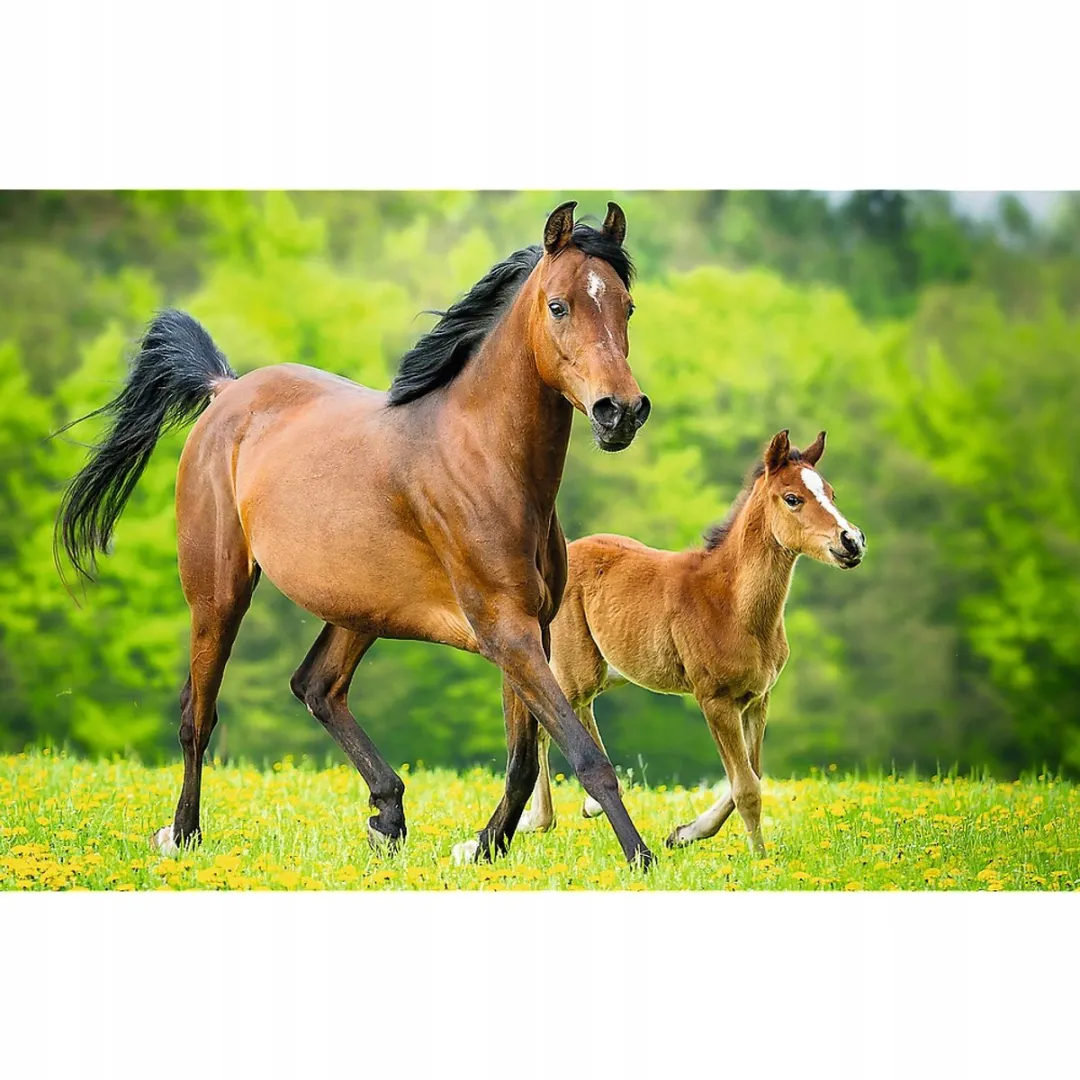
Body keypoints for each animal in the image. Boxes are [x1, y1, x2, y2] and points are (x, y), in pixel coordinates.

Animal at [54, 201, 658, 868]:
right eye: (558, 305)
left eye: (627, 307)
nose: (620, 412)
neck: (487, 461)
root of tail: (225, 390)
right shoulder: (507, 630)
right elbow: (586, 757)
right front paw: (642, 857)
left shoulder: (529, 631)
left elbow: (523, 761)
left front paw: (482, 846)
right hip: (219, 594)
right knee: (199, 714)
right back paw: (183, 834)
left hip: (358, 607)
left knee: (316, 686)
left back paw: (387, 815)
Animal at [516, 429, 866, 855]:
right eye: (793, 498)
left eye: (831, 493)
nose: (852, 541)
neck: (732, 603)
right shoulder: (714, 699)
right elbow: (746, 787)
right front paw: (760, 858)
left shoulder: (757, 699)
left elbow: (753, 774)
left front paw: (684, 832)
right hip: (576, 668)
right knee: (549, 717)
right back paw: (539, 818)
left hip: (607, 671)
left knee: (571, 713)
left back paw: (582, 806)